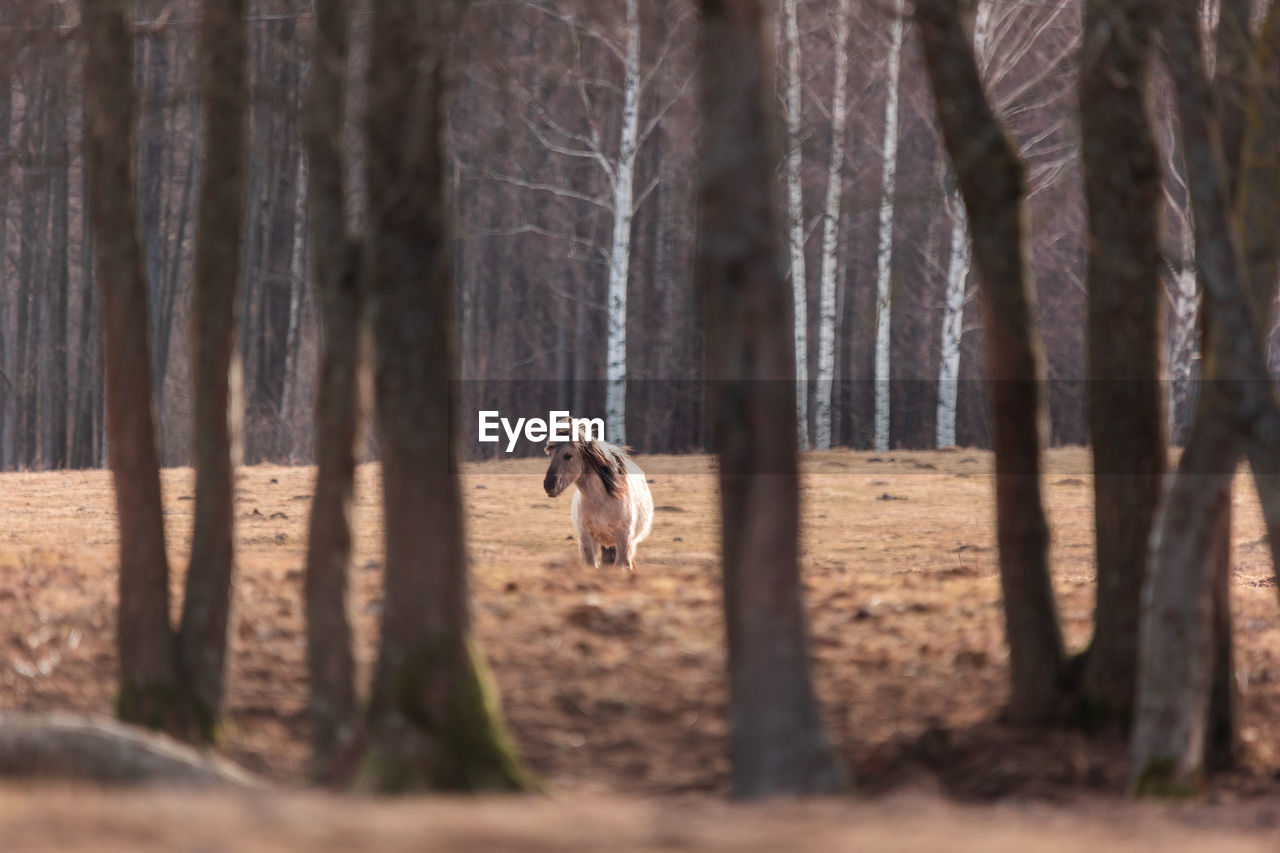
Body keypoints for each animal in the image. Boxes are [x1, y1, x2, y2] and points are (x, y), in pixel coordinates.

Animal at [545, 435, 655, 568]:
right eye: (550, 454)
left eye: (568, 455)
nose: (548, 485)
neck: (601, 502)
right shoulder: (587, 540)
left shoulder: (624, 540)